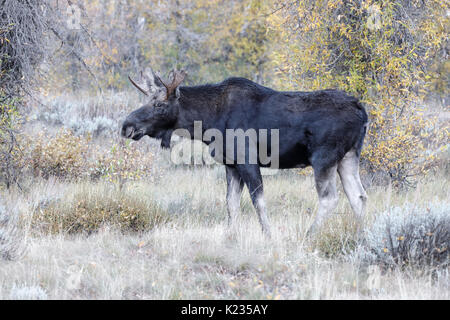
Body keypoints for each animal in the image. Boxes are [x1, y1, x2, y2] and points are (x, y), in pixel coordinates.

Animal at [121, 67, 368, 238]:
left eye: (159, 105)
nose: (126, 126)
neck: (209, 121)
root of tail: (362, 111)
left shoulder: (247, 159)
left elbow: (258, 201)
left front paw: (268, 234)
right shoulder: (231, 164)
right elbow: (231, 203)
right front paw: (231, 234)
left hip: (324, 158)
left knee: (330, 198)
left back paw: (309, 234)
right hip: (348, 157)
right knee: (359, 196)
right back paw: (361, 235)